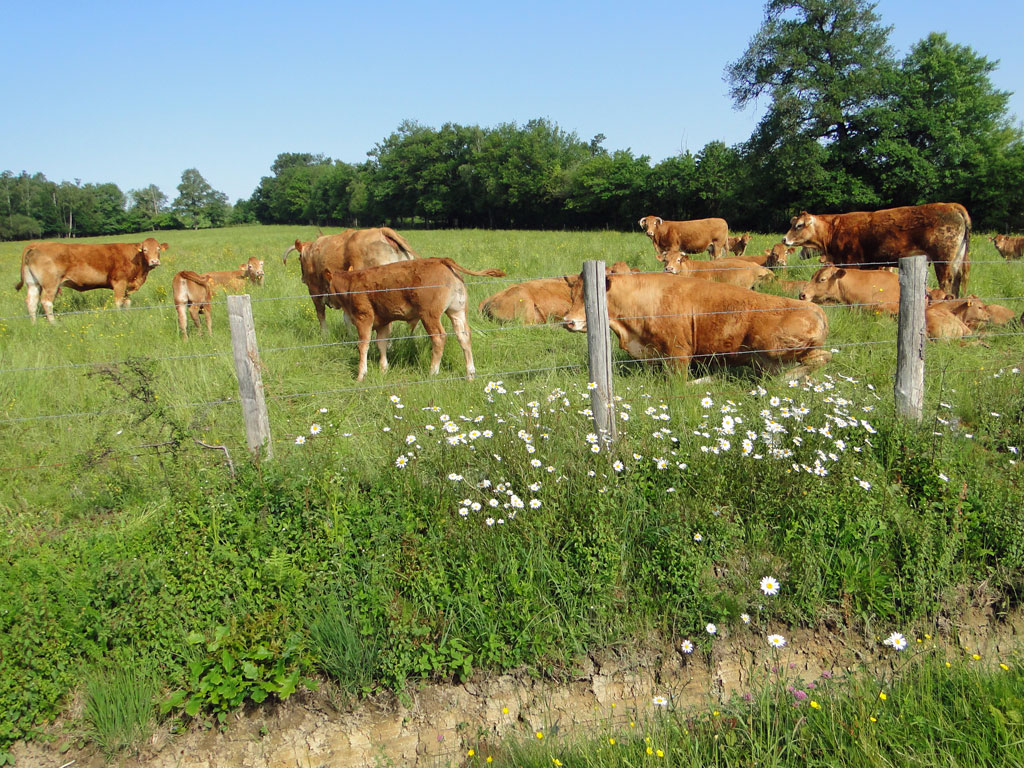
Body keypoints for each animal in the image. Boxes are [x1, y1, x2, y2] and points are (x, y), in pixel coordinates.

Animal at [14, 237, 166, 321]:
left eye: (158, 248)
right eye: (145, 249)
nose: (154, 261)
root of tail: (37, 244)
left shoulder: (128, 285)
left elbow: (127, 302)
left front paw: (128, 315)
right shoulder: (119, 282)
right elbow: (118, 302)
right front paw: (119, 317)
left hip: (33, 284)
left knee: (31, 302)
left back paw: (34, 323)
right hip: (51, 284)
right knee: (46, 302)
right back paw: (53, 323)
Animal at [280, 228, 415, 335]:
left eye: (299, 258)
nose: (303, 278)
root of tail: (382, 231)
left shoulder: (315, 289)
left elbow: (320, 313)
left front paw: (325, 334)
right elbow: (347, 317)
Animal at [319, 259, 503, 382]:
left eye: (326, 286)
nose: (326, 302)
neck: (351, 283)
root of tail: (440, 260)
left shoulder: (363, 317)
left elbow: (363, 345)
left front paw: (360, 375)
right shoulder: (383, 321)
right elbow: (382, 343)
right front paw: (383, 369)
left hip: (429, 315)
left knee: (439, 337)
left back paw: (433, 372)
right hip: (457, 311)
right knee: (463, 336)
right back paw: (470, 374)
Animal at [561, 270, 831, 382]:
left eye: (589, 298)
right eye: (572, 294)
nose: (568, 321)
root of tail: (815, 309)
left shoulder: (678, 353)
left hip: (775, 349)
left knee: (822, 357)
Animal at [778, 202, 970, 296]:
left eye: (799, 225)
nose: (784, 239)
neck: (834, 229)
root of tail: (952, 205)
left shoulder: (852, 262)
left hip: (943, 260)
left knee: (947, 283)